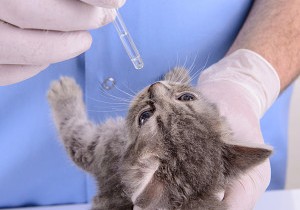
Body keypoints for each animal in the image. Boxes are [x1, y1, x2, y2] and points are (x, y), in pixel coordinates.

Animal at [47, 67, 272, 210]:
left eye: (144, 116)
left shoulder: (101, 151)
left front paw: (64, 92)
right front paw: (179, 72)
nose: (153, 86)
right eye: (187, 97)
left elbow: (73, 129)